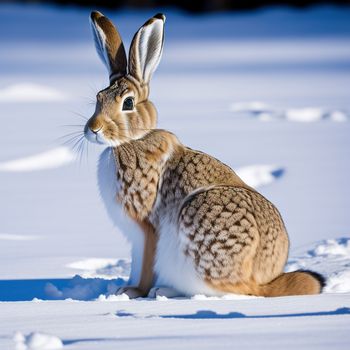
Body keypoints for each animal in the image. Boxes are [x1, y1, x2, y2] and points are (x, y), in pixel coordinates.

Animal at [85, 12, 326, 300]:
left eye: (128, 103)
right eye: (98, 97)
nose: (93, 129)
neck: (131, 140)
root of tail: (263, 278)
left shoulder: (145, 229)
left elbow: (145, 263)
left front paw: (132, 291)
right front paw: (124, 288)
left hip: (199, 230)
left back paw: (164, 289)